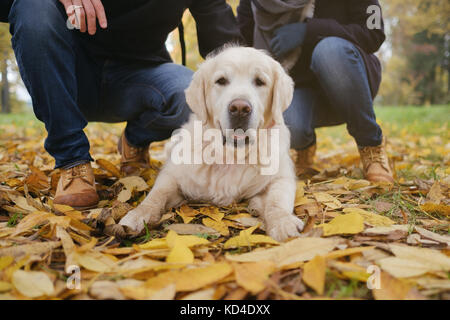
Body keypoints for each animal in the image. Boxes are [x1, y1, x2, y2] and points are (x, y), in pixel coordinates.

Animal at [119, 45, 304, 240]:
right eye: (221, 81)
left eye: (260, 81)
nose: (240, 108)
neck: (230, 154)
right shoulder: (172, 175)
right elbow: (156, 194)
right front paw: (138, 214)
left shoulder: (281, 178)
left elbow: (277, 200)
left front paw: (283, 223)